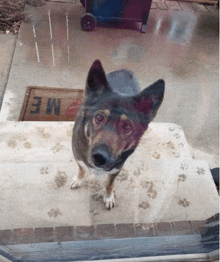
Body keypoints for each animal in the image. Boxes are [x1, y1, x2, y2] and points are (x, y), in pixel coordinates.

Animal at [71, 59, 165, 209]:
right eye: (99, 117)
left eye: (127, 126)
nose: (100, 157)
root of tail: (124, 70)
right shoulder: (78, 157)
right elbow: (82, 169)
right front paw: (79, 179)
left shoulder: (116, 169)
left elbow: (109, 184)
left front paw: (109, 197)